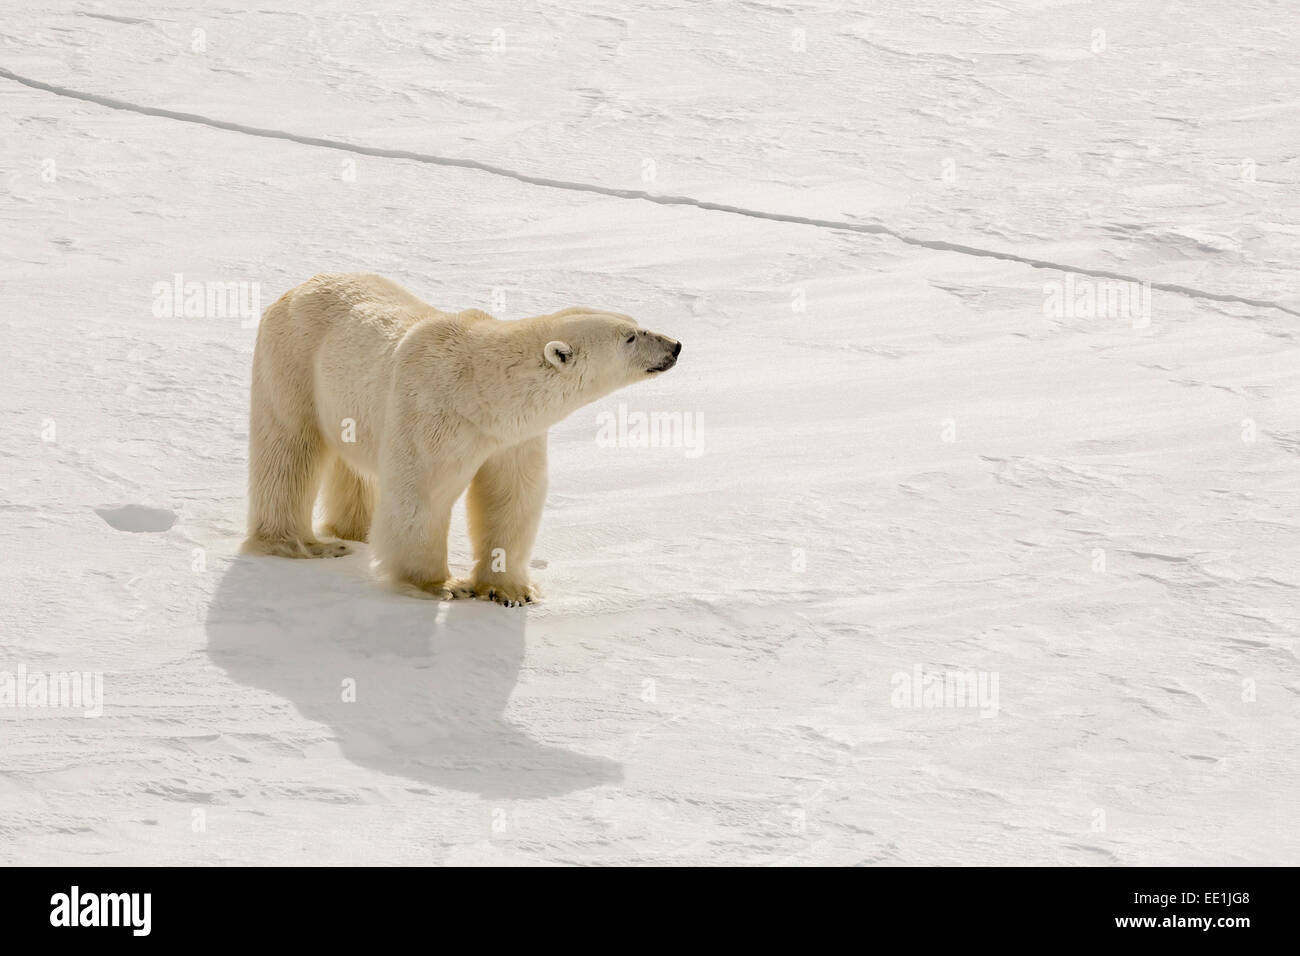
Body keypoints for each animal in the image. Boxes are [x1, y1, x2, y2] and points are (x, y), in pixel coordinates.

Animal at [245, 273, 691, 606]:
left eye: (637, 322)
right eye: (630, 337)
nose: (675, 346)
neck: (480, 390)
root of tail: (295, 289)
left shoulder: (512, 437)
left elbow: (511, 497)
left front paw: (511, 590)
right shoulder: (432, 415)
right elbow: (421, 496)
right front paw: (439, 585)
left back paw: (352, 531)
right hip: (293, 361)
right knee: (288, 449)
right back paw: (302, 544)